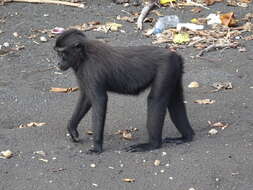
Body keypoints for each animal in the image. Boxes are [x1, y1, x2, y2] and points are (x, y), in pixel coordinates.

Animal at [54, 30, 195, 154]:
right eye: (58, 53)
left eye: (63, 53)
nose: (58, 63)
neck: (84, 54)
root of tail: (174, 55)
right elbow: (86, 98)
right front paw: (72, 128)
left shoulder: (91, 68)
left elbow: (99, 100)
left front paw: (97, 147)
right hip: (174, 70)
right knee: (175, 101)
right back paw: (187, 136)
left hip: (166, 68)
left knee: (156, 100)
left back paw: (153, 144)